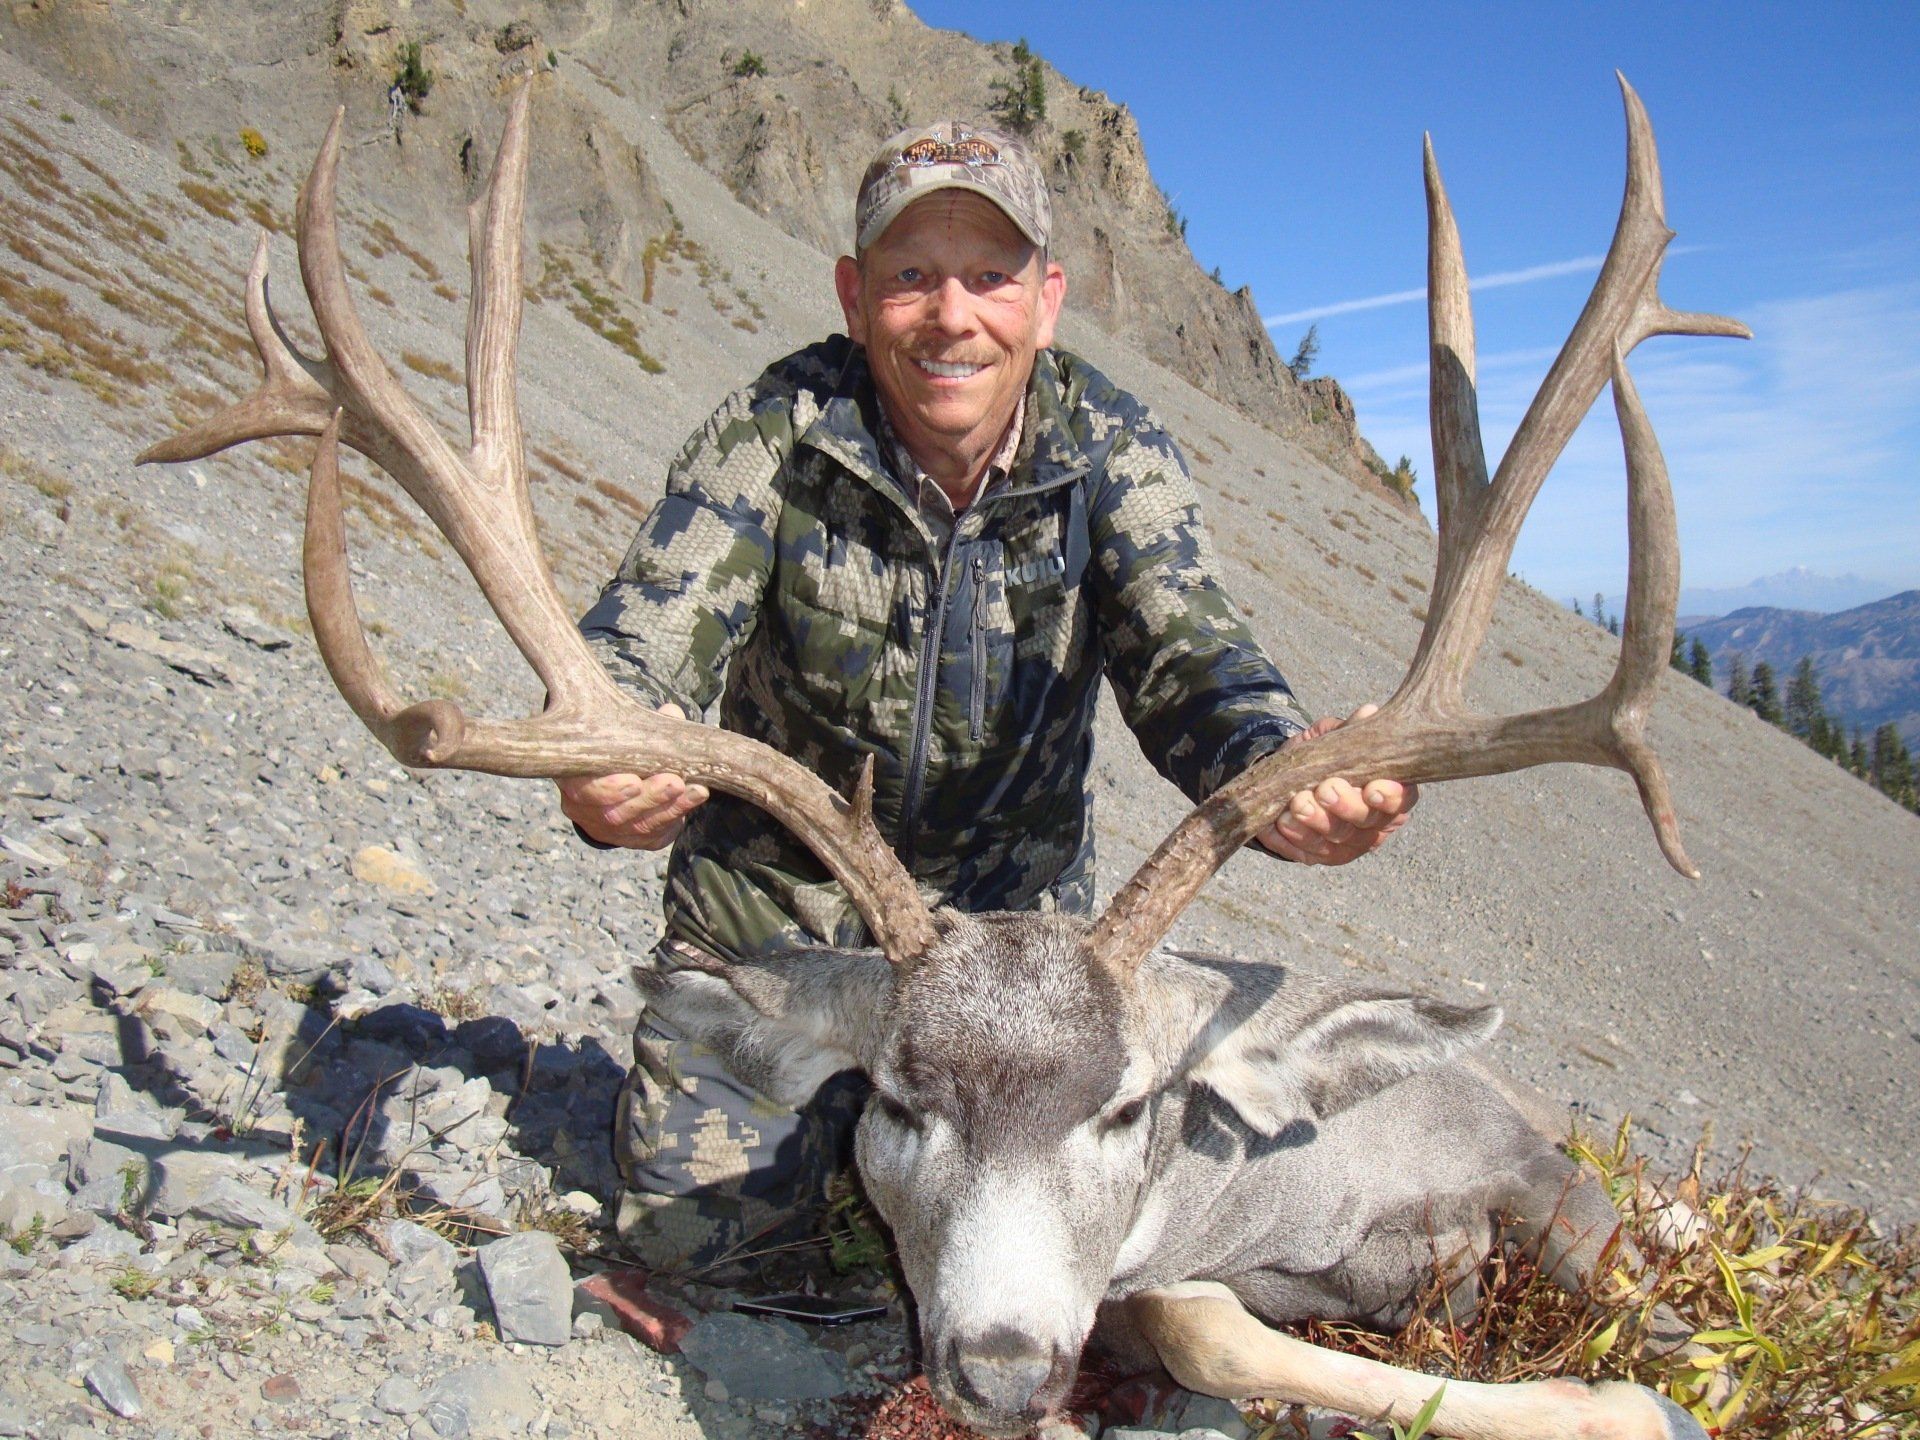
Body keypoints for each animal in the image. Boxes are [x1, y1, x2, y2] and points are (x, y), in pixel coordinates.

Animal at [141, 74, 1748, 1440]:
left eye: (1127, 1107)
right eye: (899, 1101)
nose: (1001, 1366)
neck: (1288, 1187)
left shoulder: (1529, 1164)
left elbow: (1672, 1332)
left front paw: (1622, 1388)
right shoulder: (1178, 1291)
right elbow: (1197, 1322)